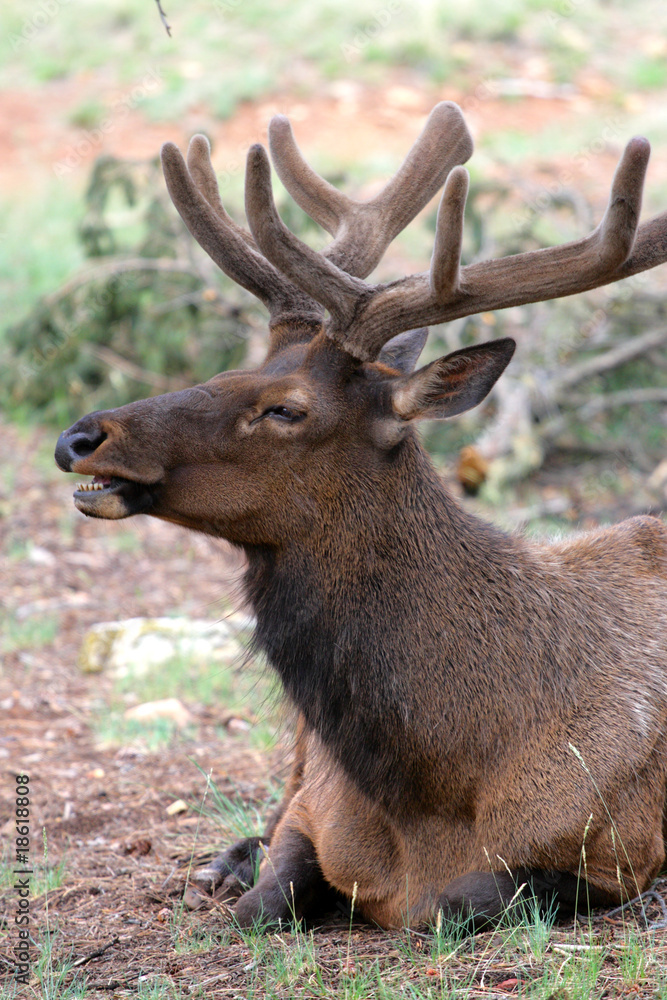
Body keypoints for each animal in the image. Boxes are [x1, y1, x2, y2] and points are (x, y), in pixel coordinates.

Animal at [56, 103, 667, 928]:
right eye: (229, 369)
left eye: (285, 408)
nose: (81, 436)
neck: (438, 779)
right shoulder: (314, 805)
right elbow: (265, 897)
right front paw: (243, 880)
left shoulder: (619, 852)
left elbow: (458, 900)